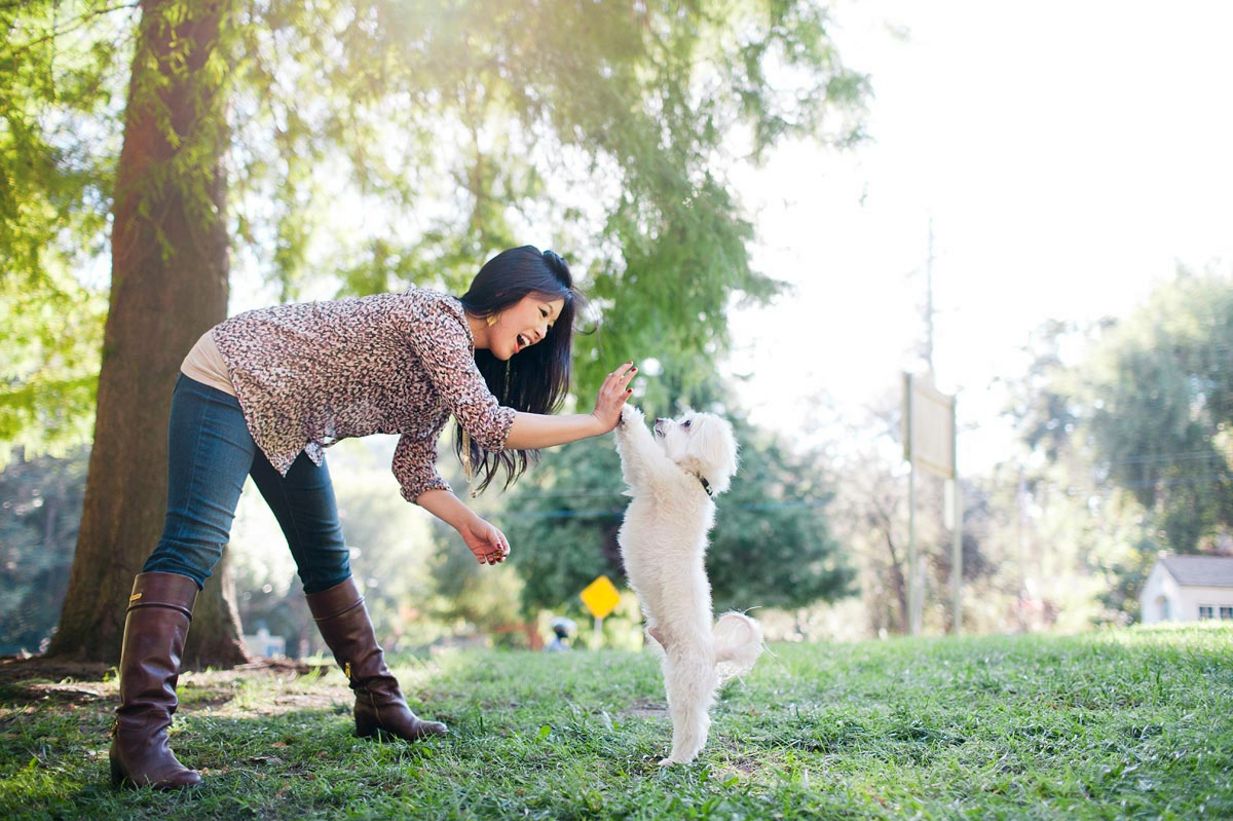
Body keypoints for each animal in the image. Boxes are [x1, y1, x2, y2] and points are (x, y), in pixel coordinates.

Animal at [614, 401, 759, 759]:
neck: (694, 476)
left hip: (685, 681)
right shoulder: (643, 478)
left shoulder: (657, 476)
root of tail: (713, 651)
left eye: (687, 423)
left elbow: (641, 450)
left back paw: (677, 760)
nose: (659, 418)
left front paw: (628, 412)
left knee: (694, 723)